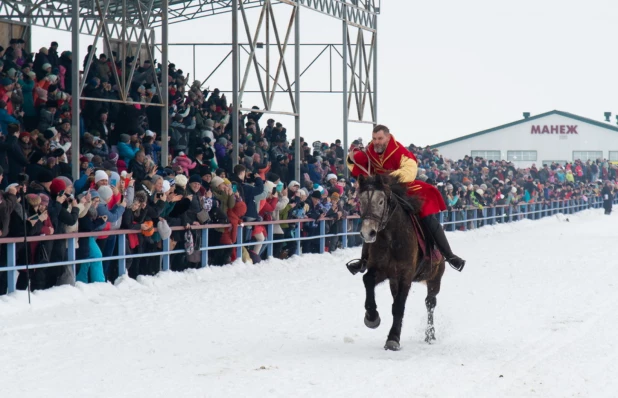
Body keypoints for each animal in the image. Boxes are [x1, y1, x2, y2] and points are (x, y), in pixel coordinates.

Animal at [356, 174, 442, 352]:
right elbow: (367, 280)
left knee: (430, 303)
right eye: (360, 201)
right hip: (394, 281)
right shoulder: (382, 270)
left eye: (381, 201)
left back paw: (430, 334)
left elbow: (399, 306)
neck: (391, 237)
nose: (368, 232)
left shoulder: (405, 274)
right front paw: (372, 317)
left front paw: (393, 338)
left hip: (435, 278)